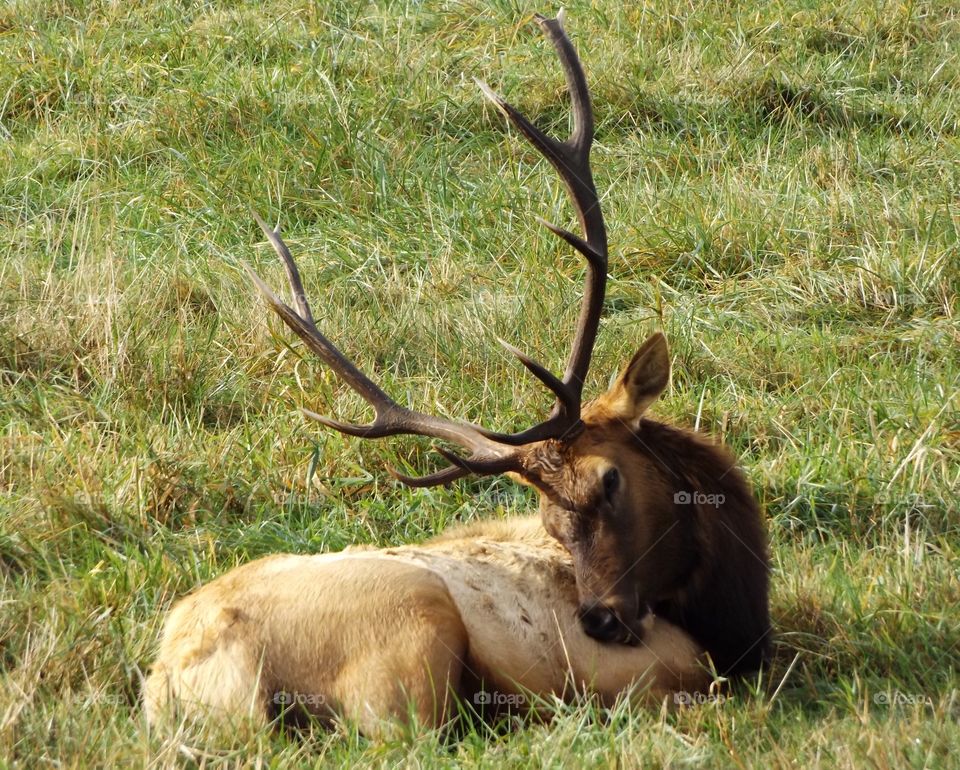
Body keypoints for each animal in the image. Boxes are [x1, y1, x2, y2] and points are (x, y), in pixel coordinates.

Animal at [144, 13, 770, 738]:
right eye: (552, 519)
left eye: (610, 481)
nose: (602, 620)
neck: (737, 619)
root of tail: (175, 679)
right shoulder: (663, 667)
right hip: (413, 627)